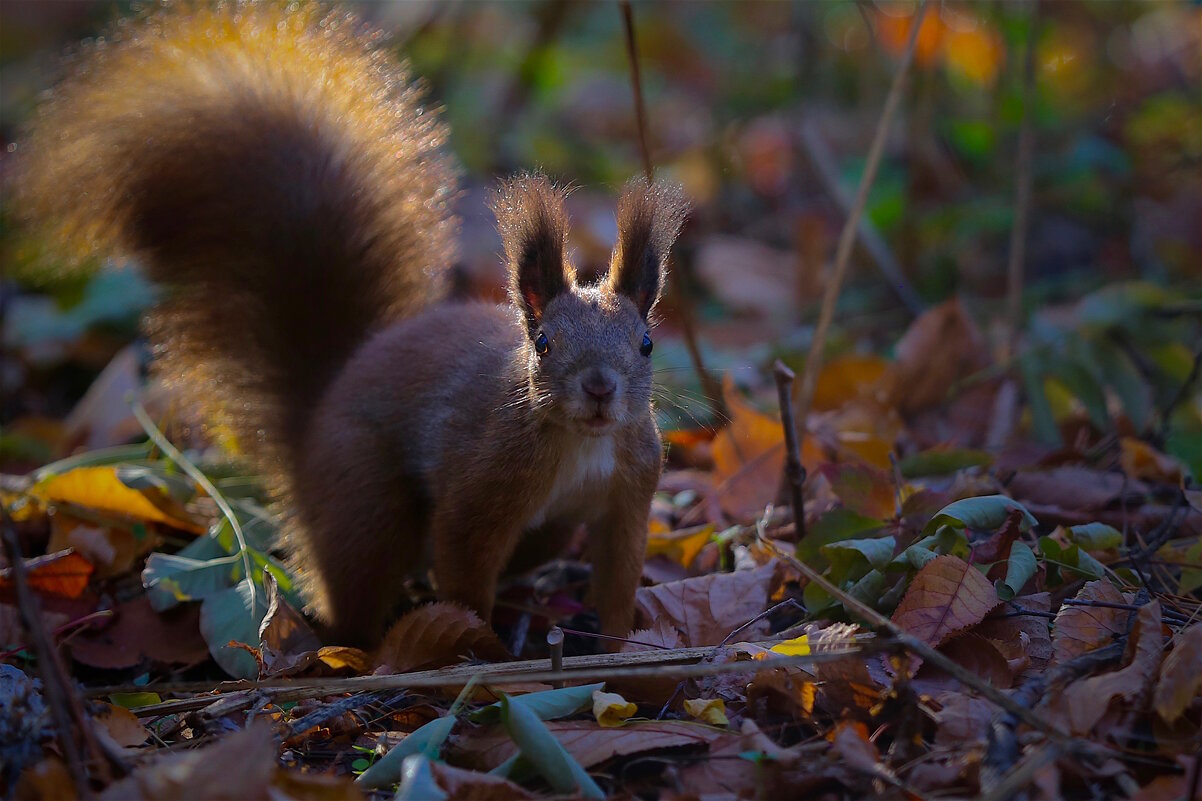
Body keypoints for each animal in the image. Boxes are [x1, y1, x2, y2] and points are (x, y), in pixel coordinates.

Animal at [11, 3, 687, 644]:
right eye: (543, 343)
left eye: (647, 343)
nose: (599, 389)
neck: (584, 445)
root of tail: (313, 423)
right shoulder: (481, 480)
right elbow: (464, 565)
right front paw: (474, 643)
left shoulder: (631, 494)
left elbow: (620, 573)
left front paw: (623, 640)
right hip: (362, 497)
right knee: (358, 581)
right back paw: (360, 644)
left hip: (542, 531)